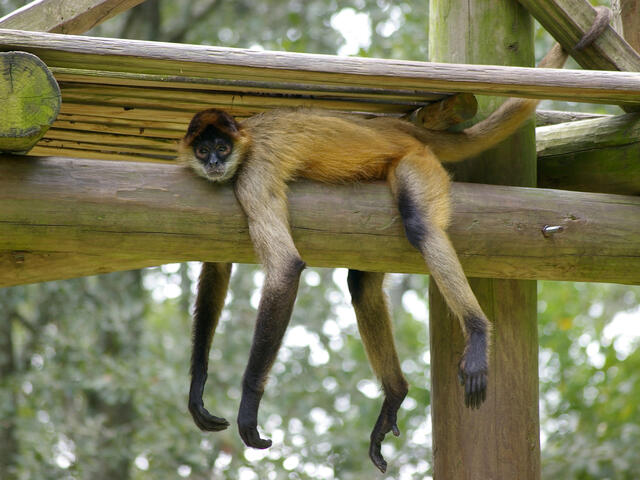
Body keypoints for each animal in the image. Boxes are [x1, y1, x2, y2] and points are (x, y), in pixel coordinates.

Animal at [179, 15, 610, 473]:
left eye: (221, 146)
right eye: (203, 149)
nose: (214, 162)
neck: (245, 142)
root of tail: (395, 127)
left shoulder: (252, 172)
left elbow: (285, 267)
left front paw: (248, 408)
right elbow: (218, 266)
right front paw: (198, 387)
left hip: (416, 163)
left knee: (421, 227)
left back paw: (476, 330)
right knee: (362, 284)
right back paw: (396, 393)